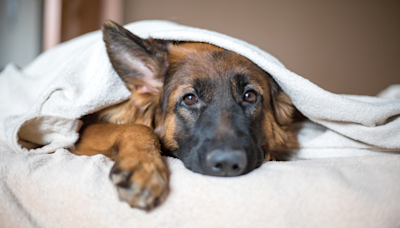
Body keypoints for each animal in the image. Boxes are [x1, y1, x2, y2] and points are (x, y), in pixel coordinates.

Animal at [72, 20, 296, 210]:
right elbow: (139, 127)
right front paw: (144, 167)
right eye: (189, 99)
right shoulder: (83, 131)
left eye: (249, 96)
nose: (227, 163)